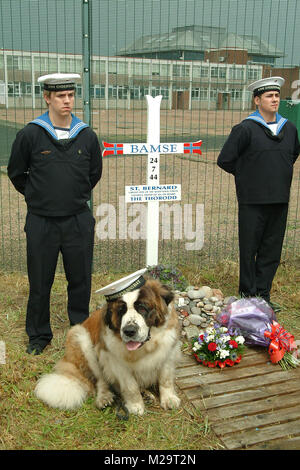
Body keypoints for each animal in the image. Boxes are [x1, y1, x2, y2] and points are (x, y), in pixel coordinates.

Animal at [35, 278, 180, 416]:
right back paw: (104, 398)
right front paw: (135, 405)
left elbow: (166, 378)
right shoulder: (116, 362)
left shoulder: (168, 352)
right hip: (81, 337)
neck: (145, 348)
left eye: (142, 308)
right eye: (121, 311)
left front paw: (169, 399)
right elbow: (130, 386)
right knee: (101, 380)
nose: (129, 331)